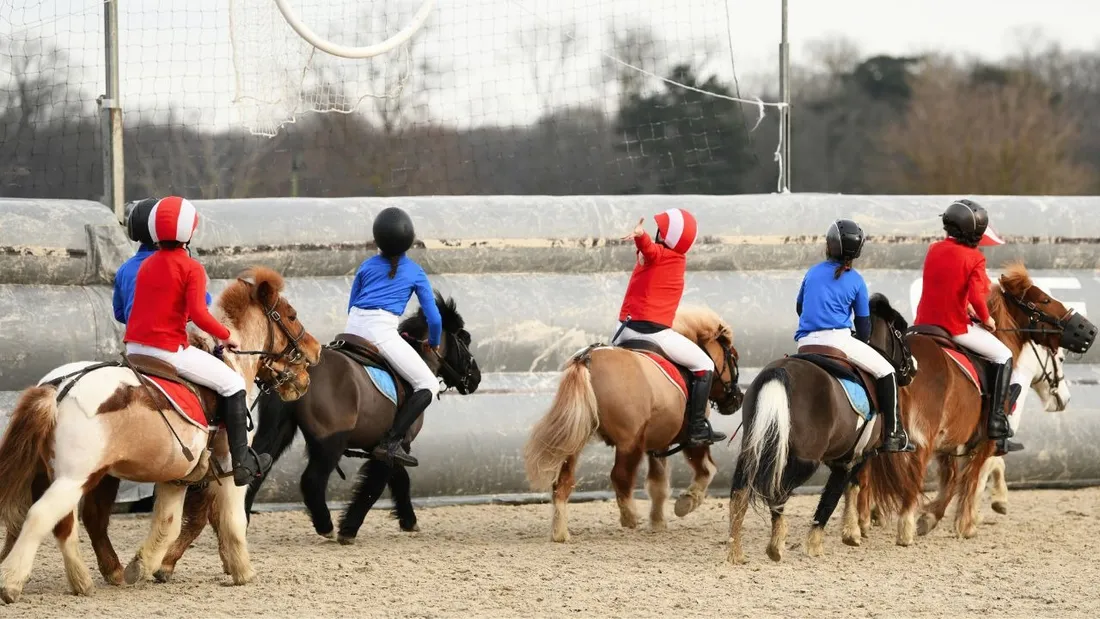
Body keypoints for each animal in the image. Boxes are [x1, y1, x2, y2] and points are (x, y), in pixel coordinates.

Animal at [0, 267, 322, 603]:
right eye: (292, 315)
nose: (315, 352)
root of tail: (58, 387)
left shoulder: (178, 477)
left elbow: (168, 522)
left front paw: (143, 565)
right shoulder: (231, 468)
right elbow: (232, 521)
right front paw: (243, 571)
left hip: (64, 475)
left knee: (67, 523)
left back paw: (83, 580)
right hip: (74, 478)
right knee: (41, 516)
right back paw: (12, 582)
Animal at [139, 292, 481, 581]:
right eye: (464, 339)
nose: (475, 379)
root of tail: (301, 371)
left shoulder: (389, 447)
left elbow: (399, 481)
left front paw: (408, 519)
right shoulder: (393, 445)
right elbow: (376, 485)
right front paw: (349, 528)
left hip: (276, 432)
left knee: (255, 472)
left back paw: (243, 524)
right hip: (331, 443)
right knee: (312, 480)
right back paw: (325, 524)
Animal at [523, 306, 743, 543]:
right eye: (734, 357)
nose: (737, 400)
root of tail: (587, 359)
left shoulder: (658, 442)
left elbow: (658, 484)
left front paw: (658, 522)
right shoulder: (692, 439)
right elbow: (706, 470)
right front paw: (686, 502)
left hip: (575, 441)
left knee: (563, 482)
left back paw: (560, 533)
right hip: (629, 442)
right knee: (619, 476)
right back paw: (629, 517)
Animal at [725, 293, 915, 564]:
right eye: (900, 330)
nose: (913, 368)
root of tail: (781, 370)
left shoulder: (844, 457)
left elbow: (845, 490)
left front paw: (848, 532)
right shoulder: (855, 456)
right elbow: (836, 495)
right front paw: (832, 540)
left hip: (753, 449)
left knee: (739, 494)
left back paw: (736, 551)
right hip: (806, 460)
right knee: (777, 492)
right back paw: (776, 545)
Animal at [850, 262, 1086, 546]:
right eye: (1045, 300)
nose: (1064, 399)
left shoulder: (951, 443)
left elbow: (953, 479)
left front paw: (938, 515)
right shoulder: (985, 441)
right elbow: (973, 478)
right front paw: (963, 521)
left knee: (863, 473)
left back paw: (857, 525)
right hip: (920, 439)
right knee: (910, 478)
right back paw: (903, 528)